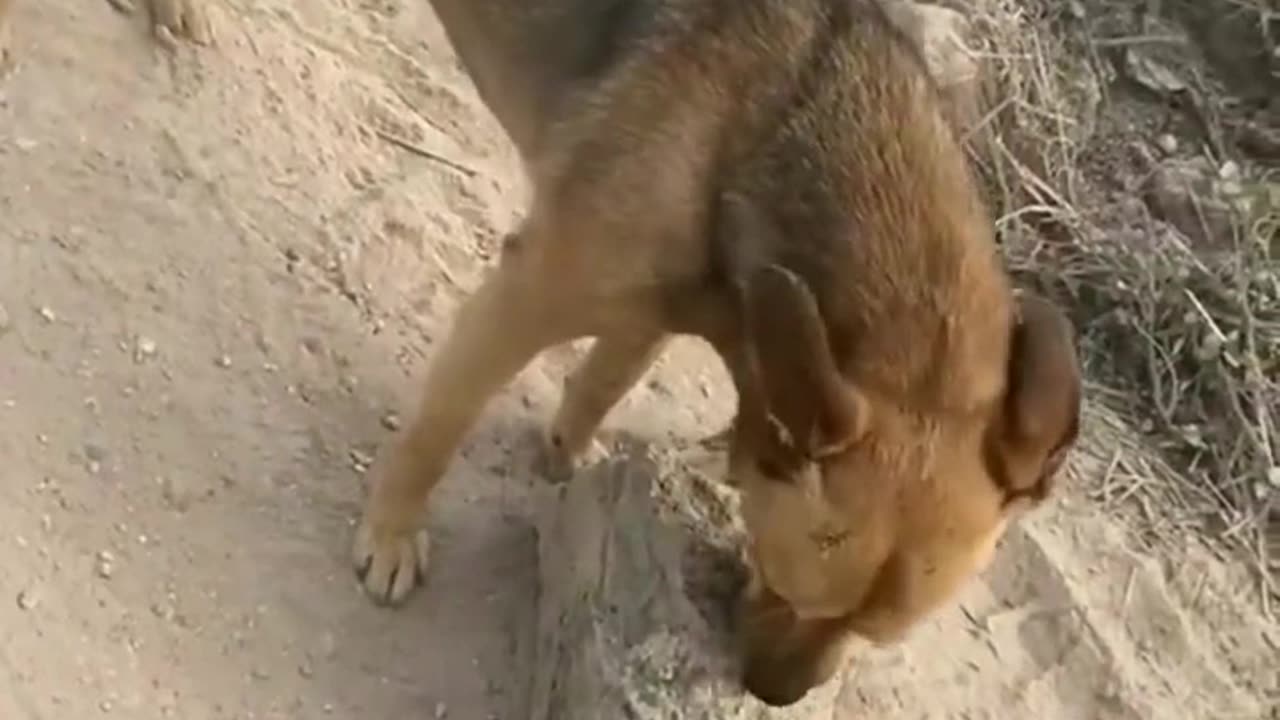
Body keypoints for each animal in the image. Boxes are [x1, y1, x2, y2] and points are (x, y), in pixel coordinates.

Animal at [353, 0, 1080, 707]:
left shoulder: (655, 312)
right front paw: (392, 535)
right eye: (780, 586)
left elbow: (602, 382)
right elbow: (437, 433)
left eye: (874, 638)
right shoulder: (527, 299)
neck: (780, 124)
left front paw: (567, 455)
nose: (775, 696)